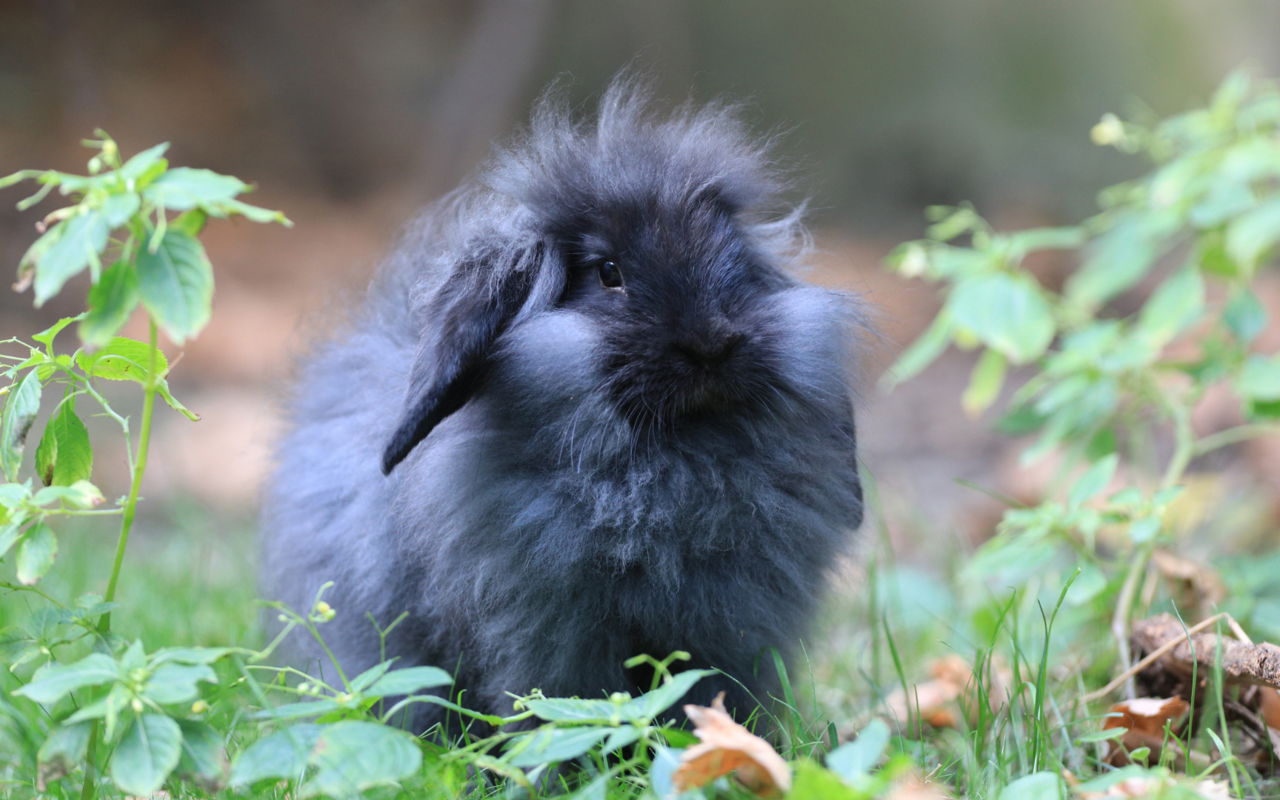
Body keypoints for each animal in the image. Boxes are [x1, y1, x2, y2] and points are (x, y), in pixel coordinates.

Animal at [259, 78, 865, 732]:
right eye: (608, 272)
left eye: (736, 262)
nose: (712, 344)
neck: (667, 467)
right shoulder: (551, 636)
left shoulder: (730, 631)